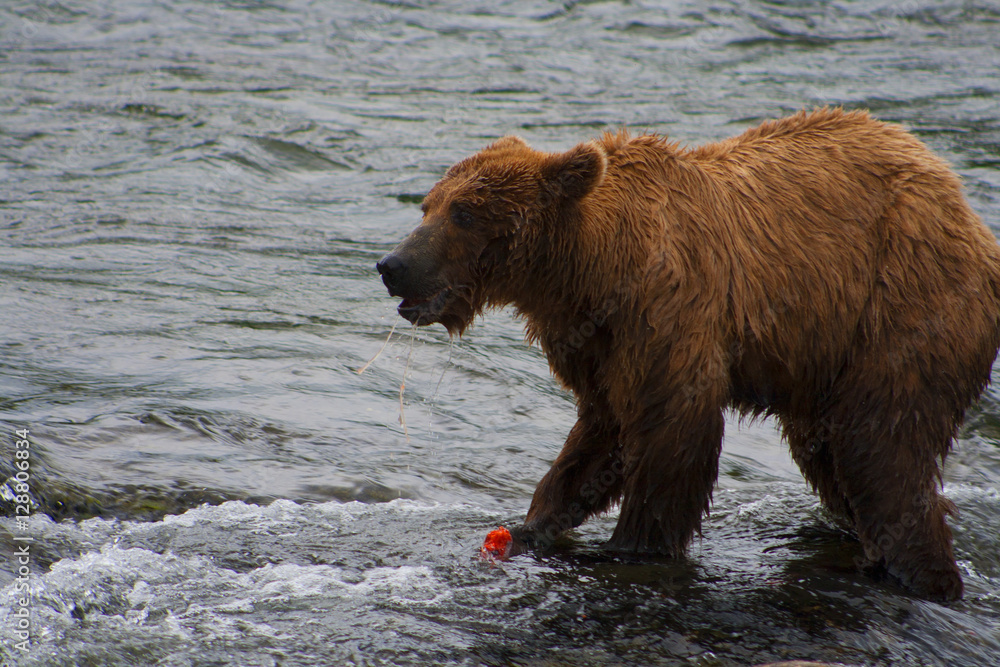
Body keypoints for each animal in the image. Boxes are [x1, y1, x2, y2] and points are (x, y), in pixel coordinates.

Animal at [376, 108, 1000, 601]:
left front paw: (631, 547)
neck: (589, 270)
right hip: (826, 360)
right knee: (832, 454)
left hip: (901, 306)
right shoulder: (597, 343)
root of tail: (969, 214)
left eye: (464, 212)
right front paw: (537, 521)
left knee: (883, 446)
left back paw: (925, 573)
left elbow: (673, 432)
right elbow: (601, 433)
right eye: (428, 205)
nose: (392, 264)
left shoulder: (667, 310)